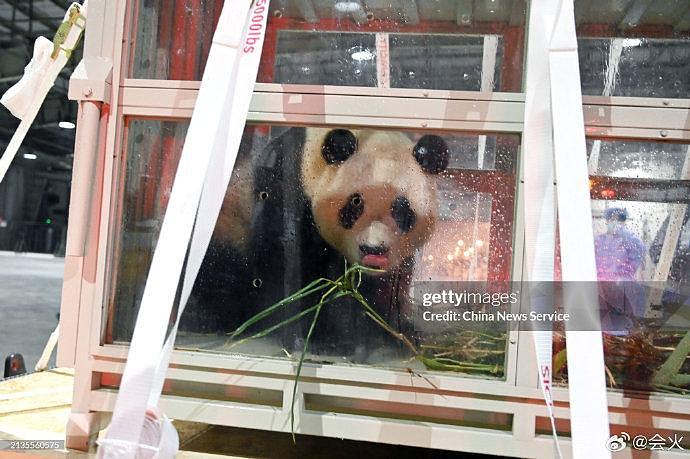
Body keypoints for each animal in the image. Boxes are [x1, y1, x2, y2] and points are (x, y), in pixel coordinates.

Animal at [183, 126, 448, 362]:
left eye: (402, 210)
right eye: (355, 203)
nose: (374, 251)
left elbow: (385, 289)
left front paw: (393, 334)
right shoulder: (286, 195)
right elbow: (291, 275)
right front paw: (326, 339)